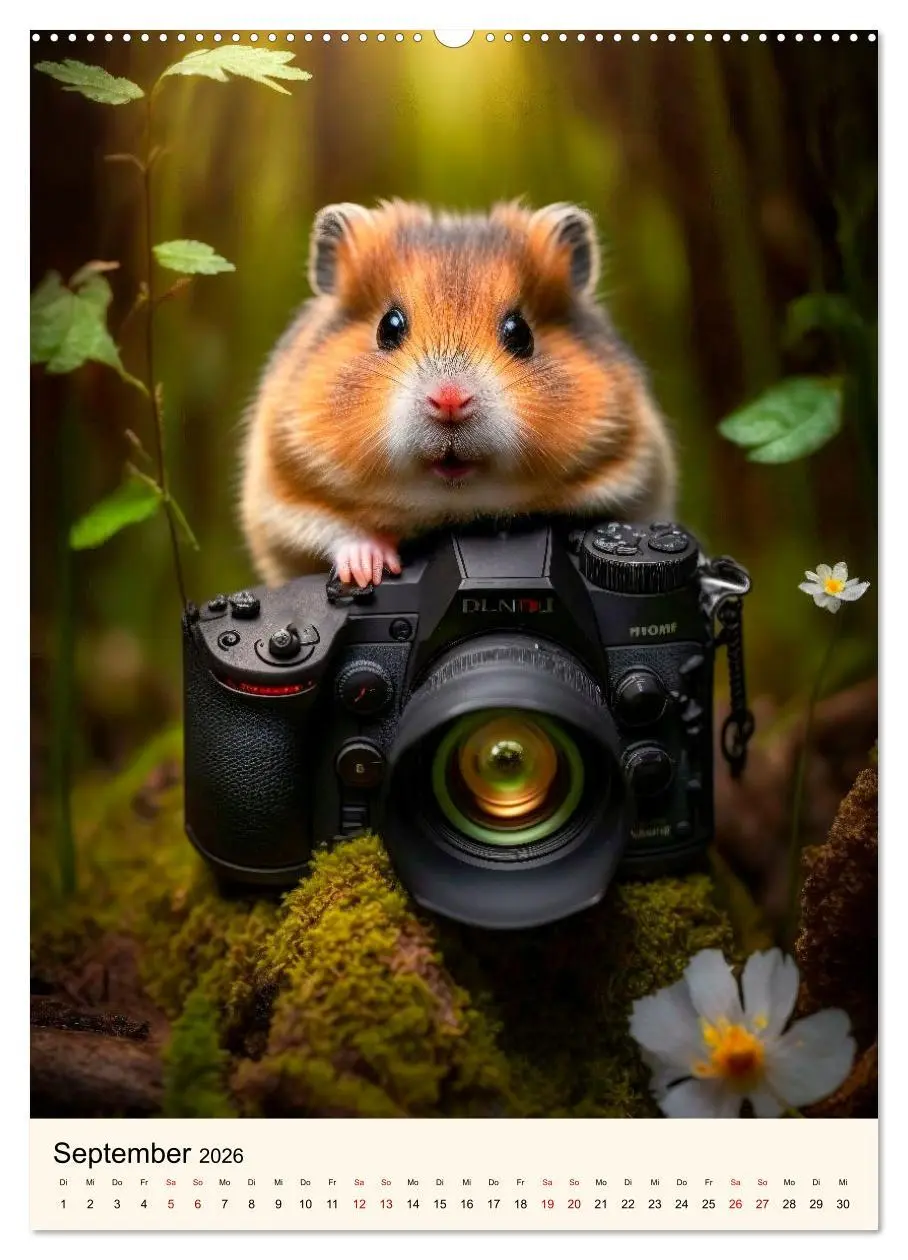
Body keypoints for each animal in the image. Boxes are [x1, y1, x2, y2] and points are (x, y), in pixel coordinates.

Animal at [241, 199, 677, 588]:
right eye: (389, 326)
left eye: (520, 332)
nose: (450, 400)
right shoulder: (282, 494)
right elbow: (339, 531)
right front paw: (370, 570)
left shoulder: (633, 469)